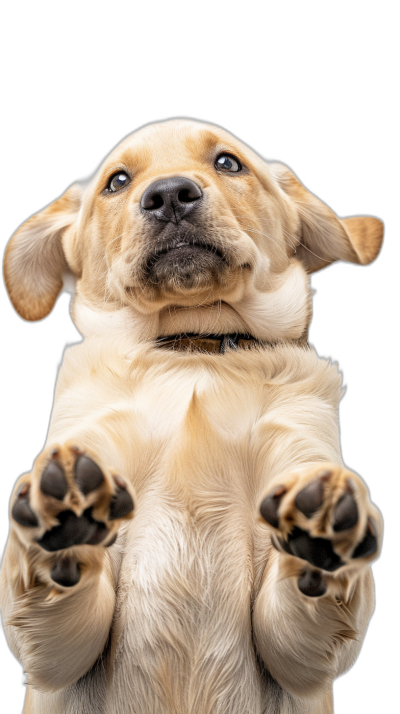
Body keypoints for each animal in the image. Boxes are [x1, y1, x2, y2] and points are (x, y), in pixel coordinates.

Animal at [0, 119, 384, 708]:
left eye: (228, 162)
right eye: (117, 181)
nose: (169, 195)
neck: (193, 350)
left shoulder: (304, 659)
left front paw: (324, 526)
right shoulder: (50, 656)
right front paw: (60, 512)